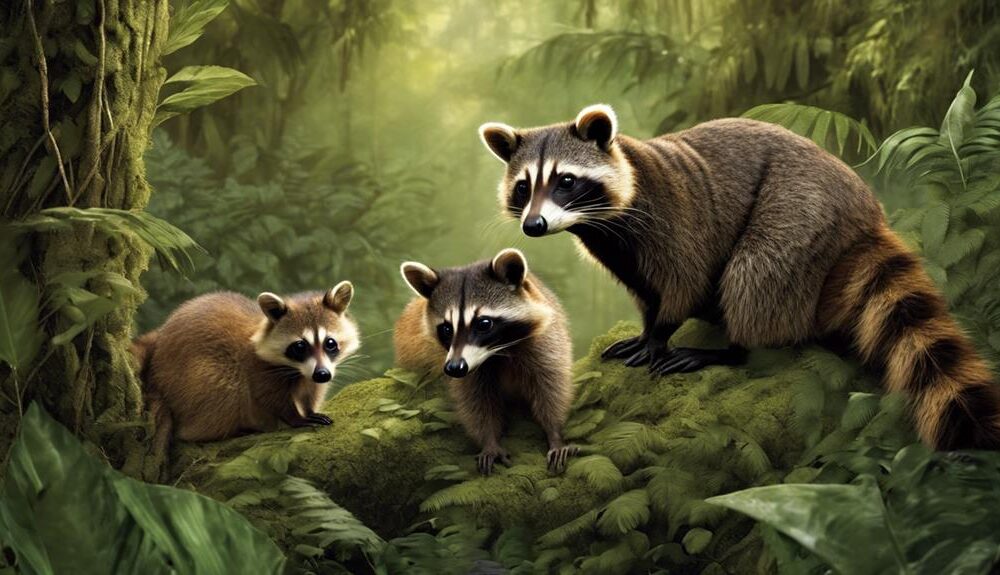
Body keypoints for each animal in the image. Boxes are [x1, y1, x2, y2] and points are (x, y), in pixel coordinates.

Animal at [133, 283, 359, 453]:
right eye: (300, 346)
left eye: (330, 343)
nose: (322, 374)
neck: (297, 369)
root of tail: (159, 339)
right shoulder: (259, 369)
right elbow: (270, 397)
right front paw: (295, 417)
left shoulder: (317, 372)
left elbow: (311, 392)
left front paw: (310, 409)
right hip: (191, 376)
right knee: (225, 392)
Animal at [394, 248, 576, 474]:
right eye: (446, 329)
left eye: (484, 324)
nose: (453, 368)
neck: (498, 351)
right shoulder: (464, 368)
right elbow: (476, 403)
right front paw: (489, 441)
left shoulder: (545, 342)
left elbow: (550, 388)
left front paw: (554, 432)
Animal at [478, 104, 1000, 451]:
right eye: (524, 187)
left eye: (565, 181)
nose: (533, 225)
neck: (600, 221)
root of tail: (867, 217)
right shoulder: (618, 249)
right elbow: (646, 291)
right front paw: (647, 328)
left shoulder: (674, 214)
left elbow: (685, 280)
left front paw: (660, 335)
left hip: (800, 211)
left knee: (757, 273)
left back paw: (733, 348)